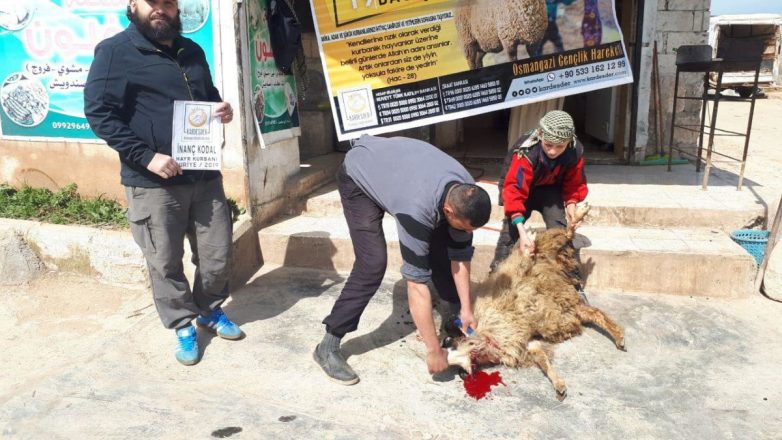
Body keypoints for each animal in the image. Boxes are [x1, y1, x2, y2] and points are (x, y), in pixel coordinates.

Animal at [448, 205, 624, 400]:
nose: (464, 373)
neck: (489, 338)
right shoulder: (526, 340)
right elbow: (543, 360)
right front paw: (558, 384)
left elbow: (523, 264)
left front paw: (528, 242)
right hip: (564, 305)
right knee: (595, 312)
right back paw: (619, 337)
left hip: (553, 267)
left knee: (566, 233)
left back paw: (576, 215)